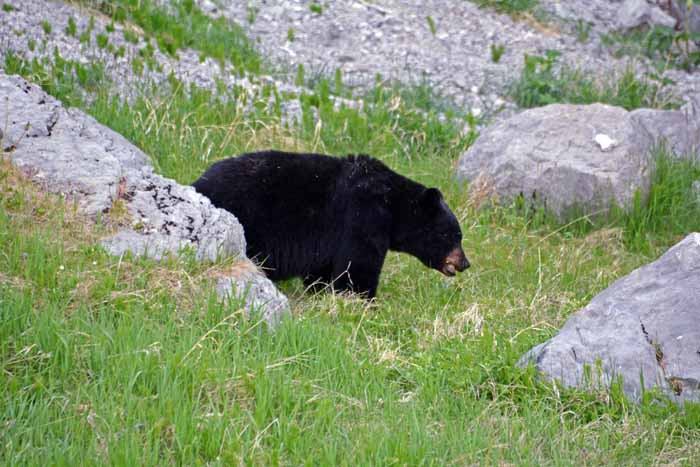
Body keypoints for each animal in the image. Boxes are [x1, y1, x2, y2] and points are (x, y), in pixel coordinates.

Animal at [193, 150, 470, 298]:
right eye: (453, 235)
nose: (465, 263)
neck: (393, 206)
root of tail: (198, 183)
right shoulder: (363, 218)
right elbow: (359, 265)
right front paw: (363, 299)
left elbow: (323, 268)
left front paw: (321, 291)